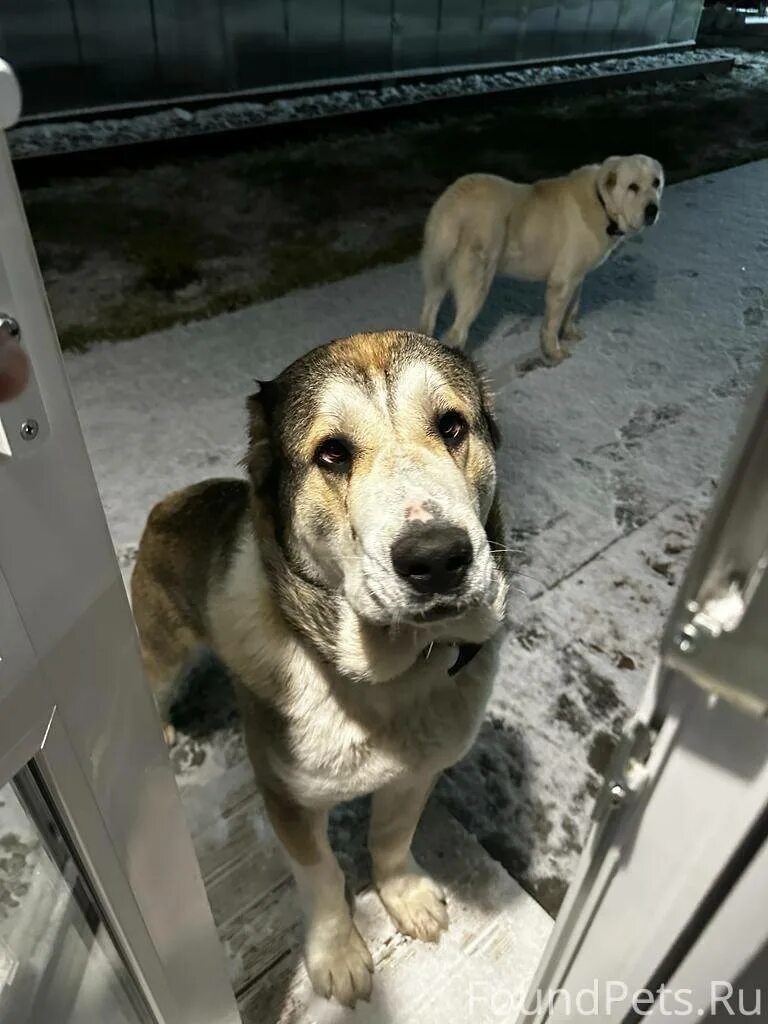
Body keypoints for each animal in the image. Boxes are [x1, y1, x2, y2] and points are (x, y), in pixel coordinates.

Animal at [132, 331, 512, 1003]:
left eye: (452, 426)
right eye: (331, 454)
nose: (437, 559)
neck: (386, 675)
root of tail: (167, 503)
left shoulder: (416, 774)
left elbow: (390, 839)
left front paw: (404, 896)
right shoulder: (288, 799)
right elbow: (323, 876)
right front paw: (337, 954)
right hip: (161, 656)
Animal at [417, 151, 663, 360]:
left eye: (656, 182)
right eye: (633, 186)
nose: (652, 210)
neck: (600, 200)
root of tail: (453, 202)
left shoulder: (577, 276)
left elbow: (573, 309)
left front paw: (570, 332)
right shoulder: (562, 281)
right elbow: (553, 322)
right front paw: (554, 352)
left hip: (436, 274)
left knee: (428, 316)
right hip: (477, 283)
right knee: (456, 332)